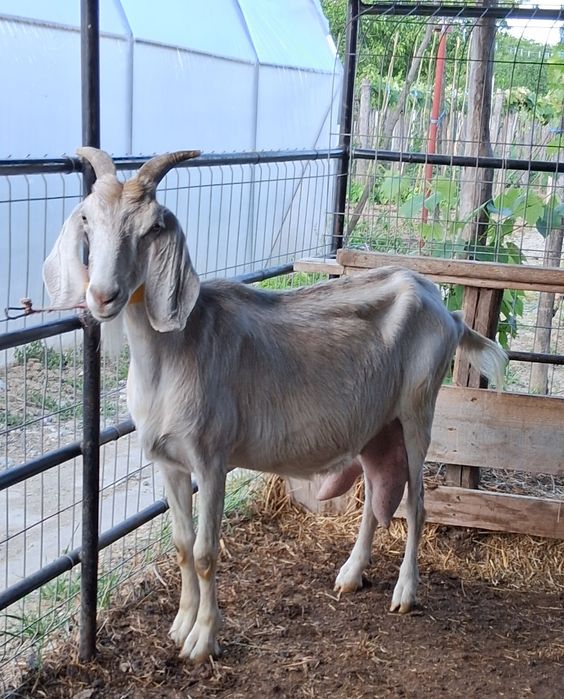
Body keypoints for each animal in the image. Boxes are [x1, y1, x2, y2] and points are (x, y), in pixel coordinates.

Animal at [43, 148, 507, 663]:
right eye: (87, 218)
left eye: (151, 227)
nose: (102, 296)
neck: (173, 355)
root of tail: (445, 309)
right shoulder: (167, 461)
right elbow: (182, 545)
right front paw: (180, 626)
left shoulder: (211, 460)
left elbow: (205, 552)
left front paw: (204, 640)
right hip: (376, 424)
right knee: (374, 497)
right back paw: (350, 575)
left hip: (417, 410)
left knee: (417, 503)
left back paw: (405, 593)